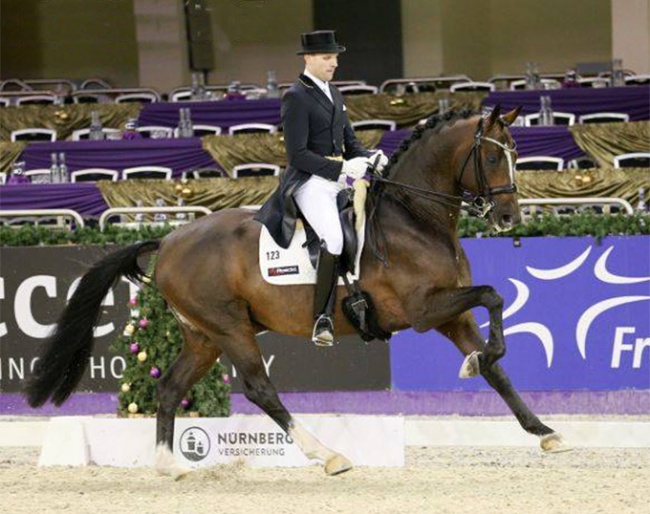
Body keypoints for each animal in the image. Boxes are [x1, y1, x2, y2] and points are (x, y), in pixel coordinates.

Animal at [24, 106, 568, 478]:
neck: (416, 217)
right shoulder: (423, 309)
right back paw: (327, 455)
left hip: (203, 336)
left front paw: (544, 432)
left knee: (171, 387)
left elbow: (497, 369)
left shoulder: (450, 311)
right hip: (230, 328)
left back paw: (168, 465)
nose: (508, 217)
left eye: (516, 156)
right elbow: (494, 297)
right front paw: (478, 362)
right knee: (259, 388)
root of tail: (171, 239)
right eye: (492, 155)